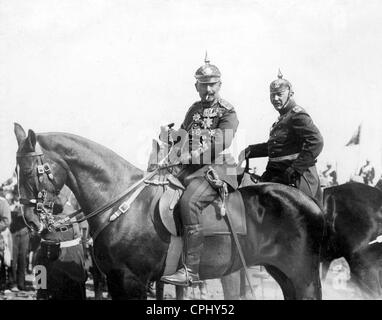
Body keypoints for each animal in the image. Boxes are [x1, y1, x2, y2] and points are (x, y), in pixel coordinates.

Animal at [14, 124, 326, 300]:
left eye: (29, 171)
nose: (30, 220)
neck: (120, 201)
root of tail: (310, 201)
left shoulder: (132, 281)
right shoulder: (116, 280)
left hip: (302, 275)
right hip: (282, 273)